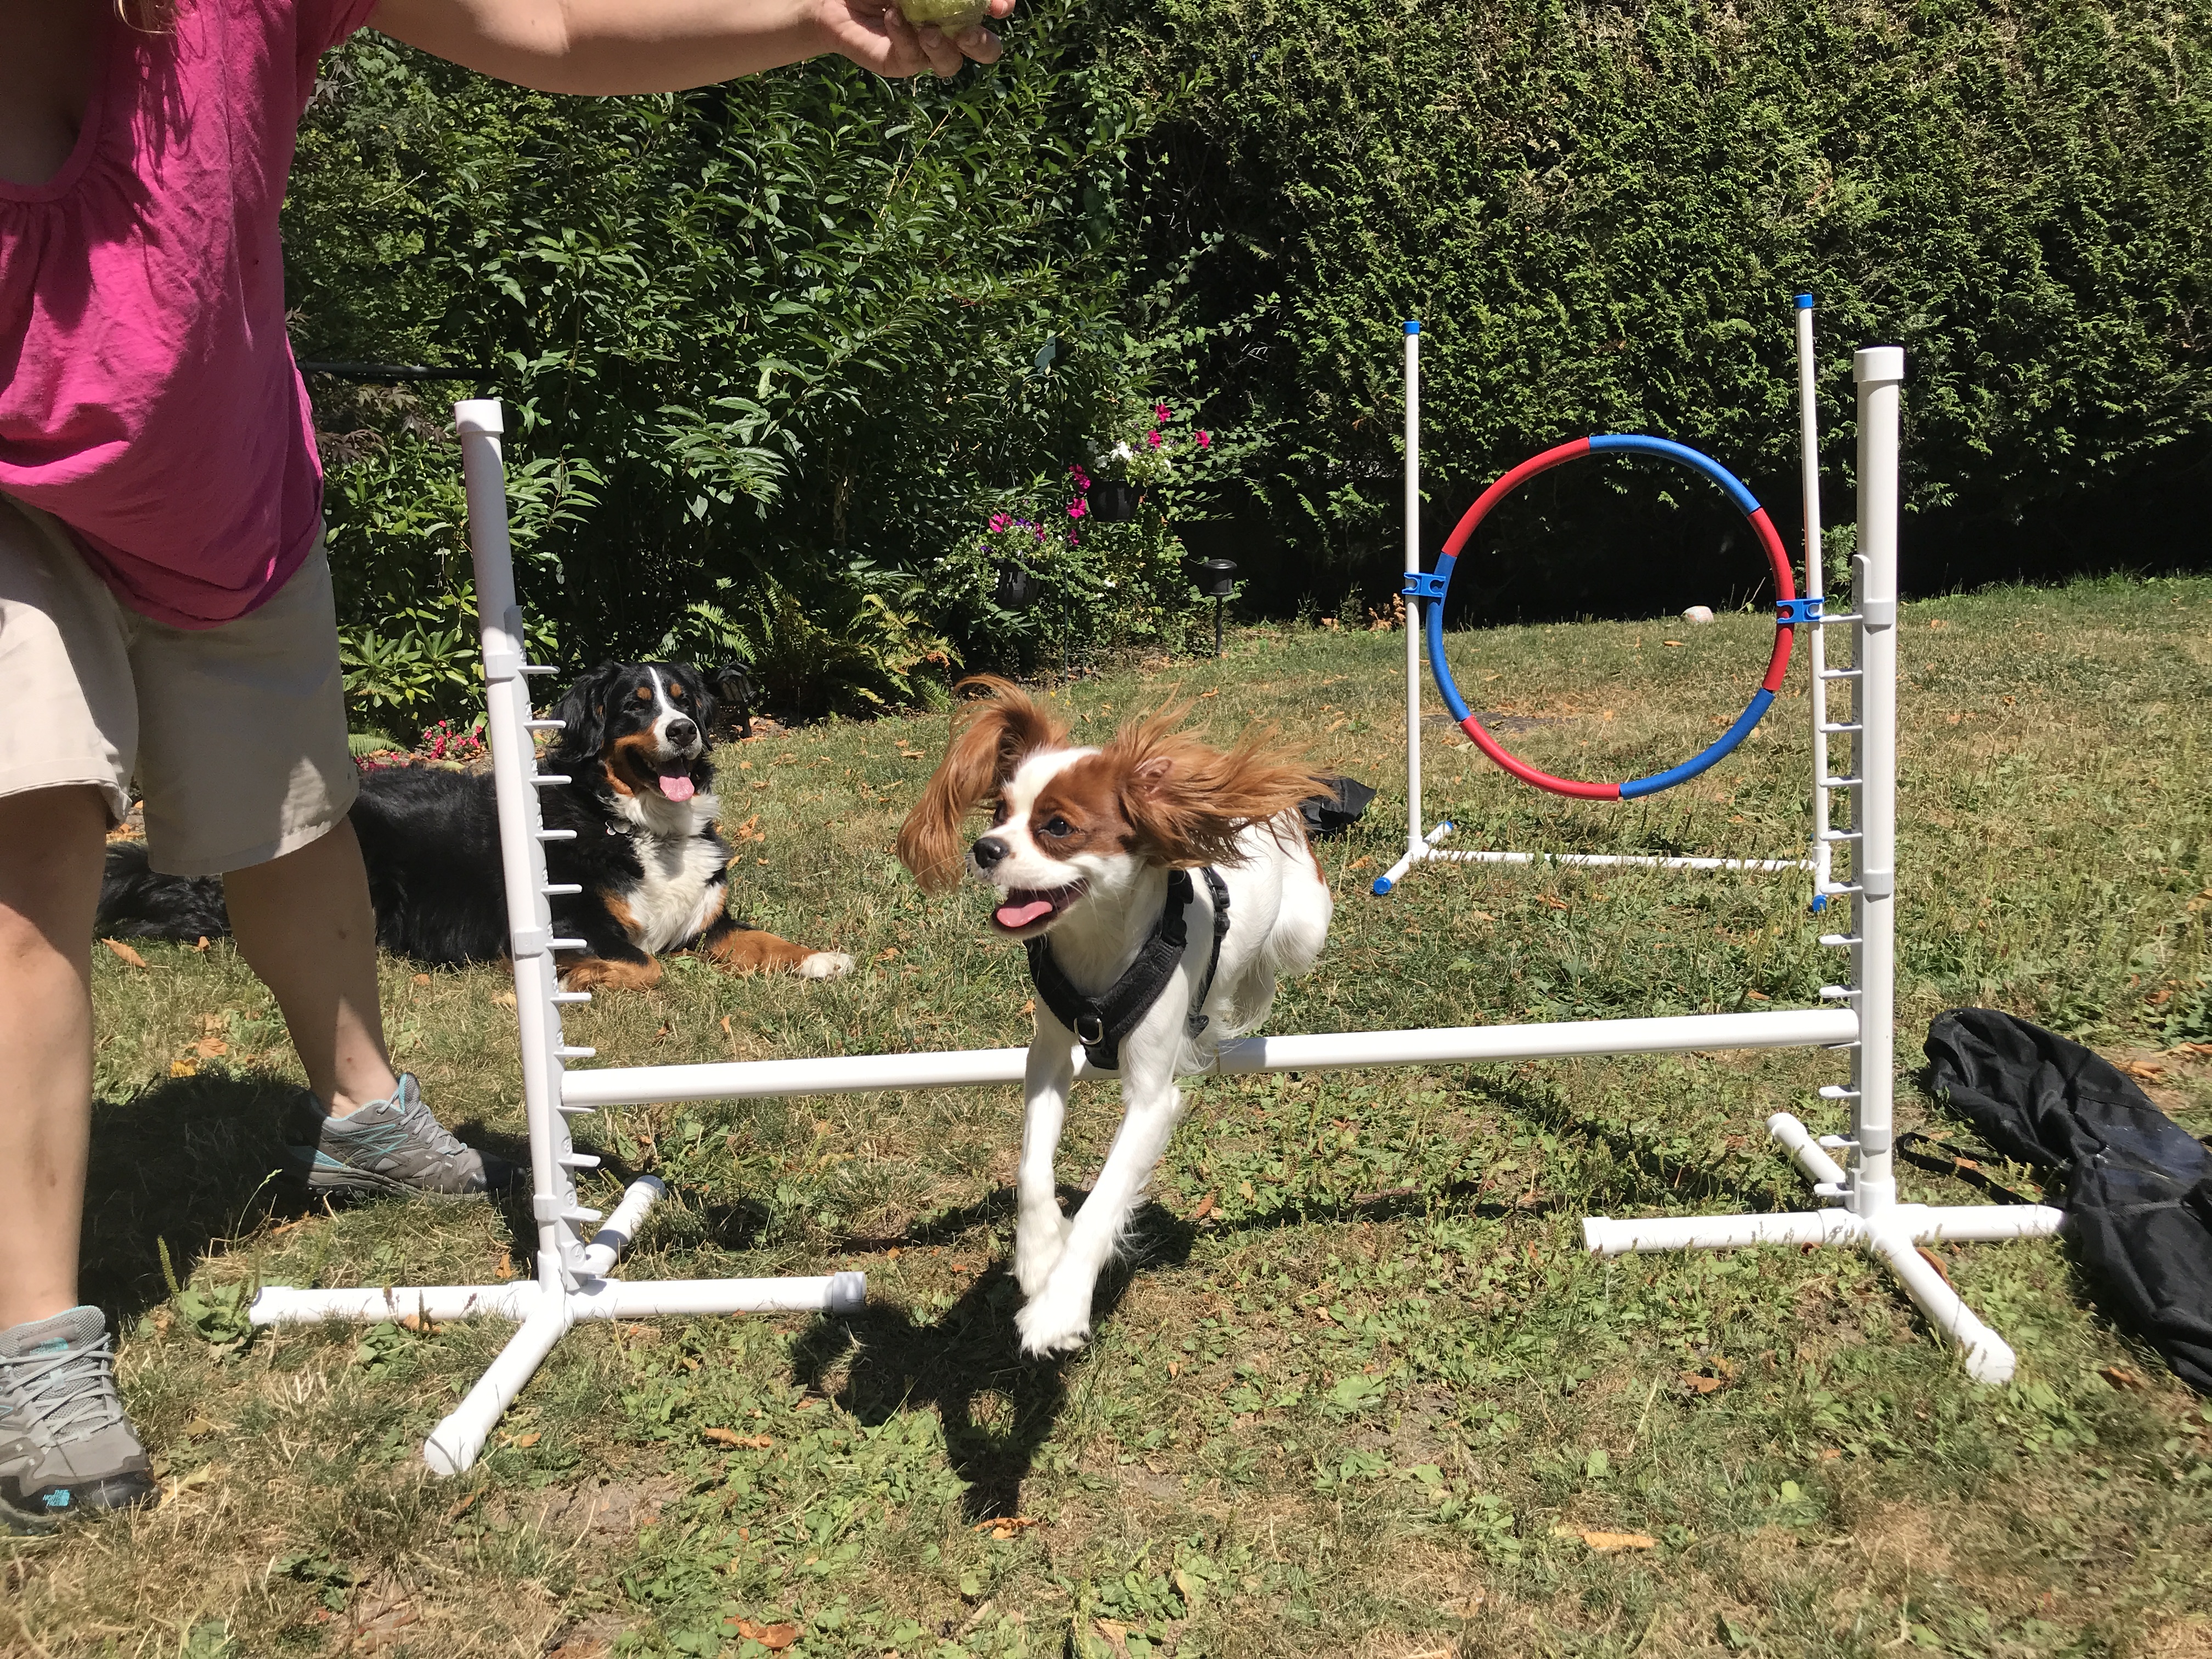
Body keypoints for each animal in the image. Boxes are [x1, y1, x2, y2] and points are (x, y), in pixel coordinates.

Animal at [97, 663, 854, 995]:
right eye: (637, 706)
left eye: (687, 699)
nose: (685, 731)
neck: (639, 826)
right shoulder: (574, 922)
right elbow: (645, 967)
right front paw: (553, 974)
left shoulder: (708, 919)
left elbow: (761, 938)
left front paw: (820, 957)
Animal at [898, 681, 1327, 1353]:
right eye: (998, 813)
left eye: (1057, 827)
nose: (985, 849)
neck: (1097, 942)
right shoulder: (1047, 1057)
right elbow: (1032, 1168)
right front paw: (1040, 1253)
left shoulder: (1152, 1099)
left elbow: (1104, 1199)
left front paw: (1059, 1305)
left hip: (1305, 931)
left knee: (1269, 968)